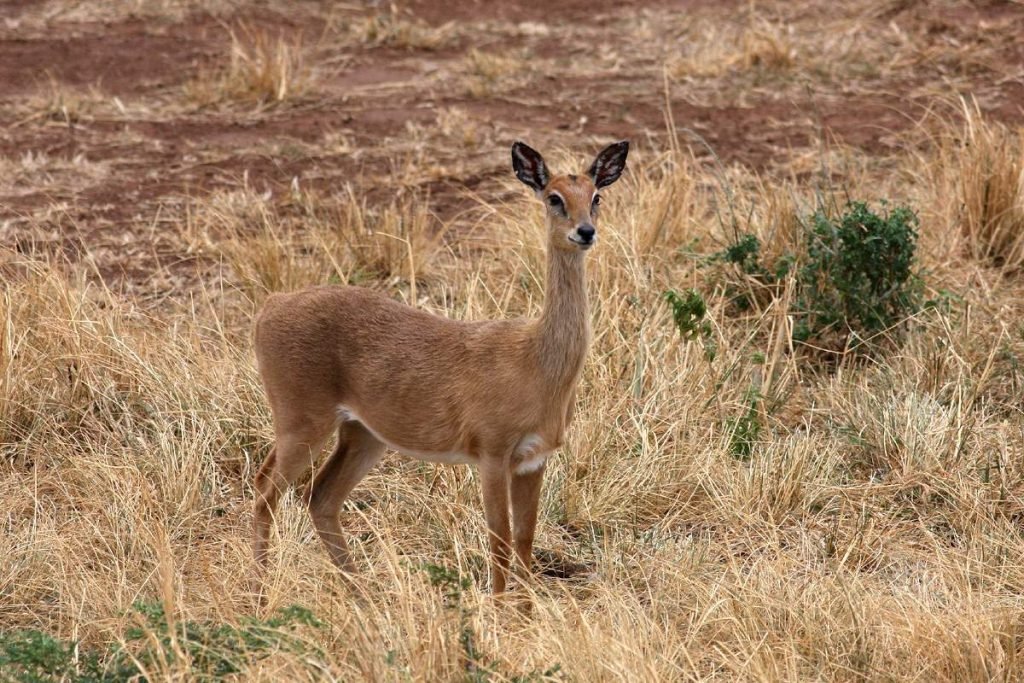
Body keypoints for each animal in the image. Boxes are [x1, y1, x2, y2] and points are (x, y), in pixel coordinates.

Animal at [251, 140, 626, 593]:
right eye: (554, 197)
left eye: (596, 196)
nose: (585, 231)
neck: (537, 363)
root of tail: (271, 306)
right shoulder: (492, 454)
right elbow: (499, 540)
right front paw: (498, 607)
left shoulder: (534, 459)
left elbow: (524, 539)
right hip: (302, 423)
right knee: (265, 490)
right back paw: (259, 590)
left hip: (362, 434)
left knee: (320, 497)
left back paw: (362, 590)